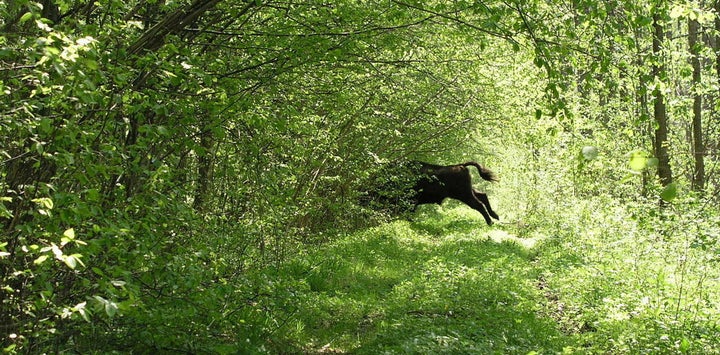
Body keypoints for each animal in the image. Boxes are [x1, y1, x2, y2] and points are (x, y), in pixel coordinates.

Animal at [362, 162, 498, 225]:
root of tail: (461, 165)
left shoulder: (411, 202)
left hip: (464, 195)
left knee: (478, 204)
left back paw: (490, 222)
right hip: (468, 191)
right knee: (483, 196)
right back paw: (495, 216)